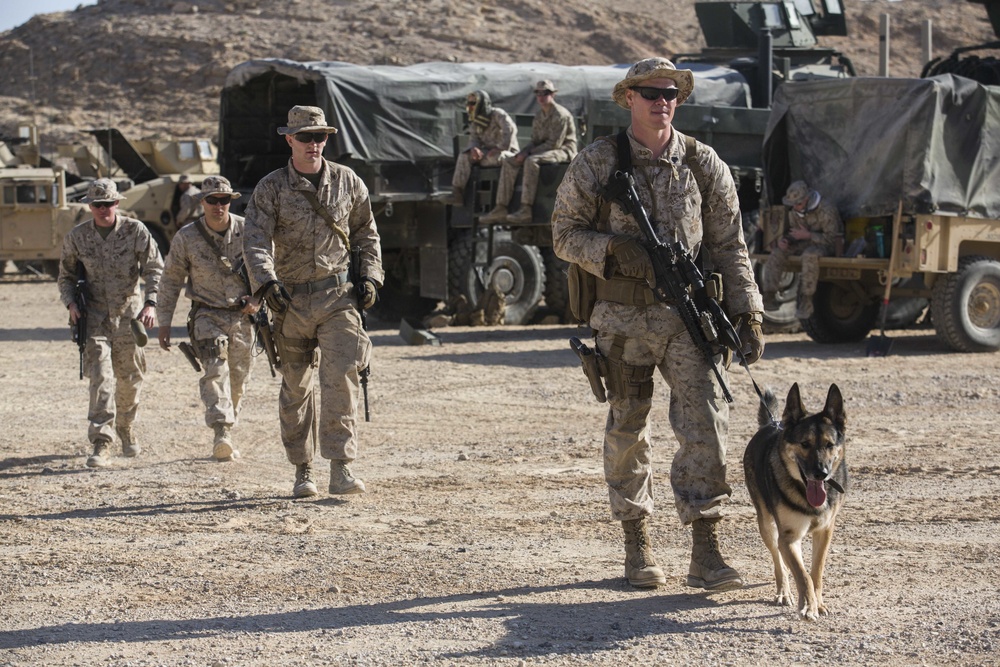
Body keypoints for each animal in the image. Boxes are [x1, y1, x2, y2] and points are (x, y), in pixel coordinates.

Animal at [748, 384, 848, 624]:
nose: (821, 473)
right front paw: (808, 606)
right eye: (805, 444)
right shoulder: (788, 537)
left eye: (830, 445)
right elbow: (803, 575)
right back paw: (784, 591)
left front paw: (817, 603)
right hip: (767, 526)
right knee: (779, 562)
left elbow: (816, 572)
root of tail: (772, 423)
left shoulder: (824, 531)